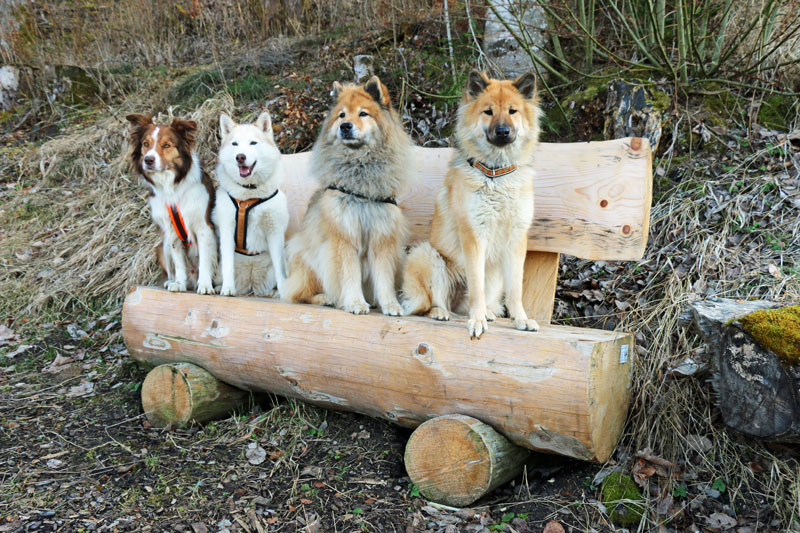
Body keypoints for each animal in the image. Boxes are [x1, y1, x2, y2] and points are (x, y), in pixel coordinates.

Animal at [126, 114, 217, 294]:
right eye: (145, 144)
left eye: (166, 145)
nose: (148, 160)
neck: (172, 187)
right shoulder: (171, 230)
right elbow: (179, 262)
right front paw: (179, 284)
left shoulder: (204, 227)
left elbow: (205, 260)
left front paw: (205, 285)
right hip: (161, 247)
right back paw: (173, 281)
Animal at [211, 112, 290, 298]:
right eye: (235, 144)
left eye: (253, 143)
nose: (240, 157)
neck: (249, 194)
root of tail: (251, 284)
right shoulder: (227, 229)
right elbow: (228, 265)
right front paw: (227, 289)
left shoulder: (275, 231)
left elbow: (280, 269)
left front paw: (284, 292)